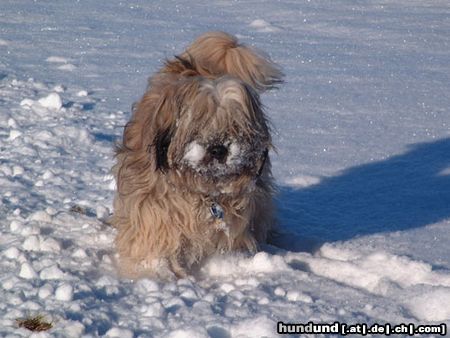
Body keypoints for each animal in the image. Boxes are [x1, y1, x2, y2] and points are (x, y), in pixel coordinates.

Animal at [111, 31, 284, 278]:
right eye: (199, 123)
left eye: (235, 126)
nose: (219, 149)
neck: (204, 192)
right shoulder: (153, 208)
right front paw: (157, 271)